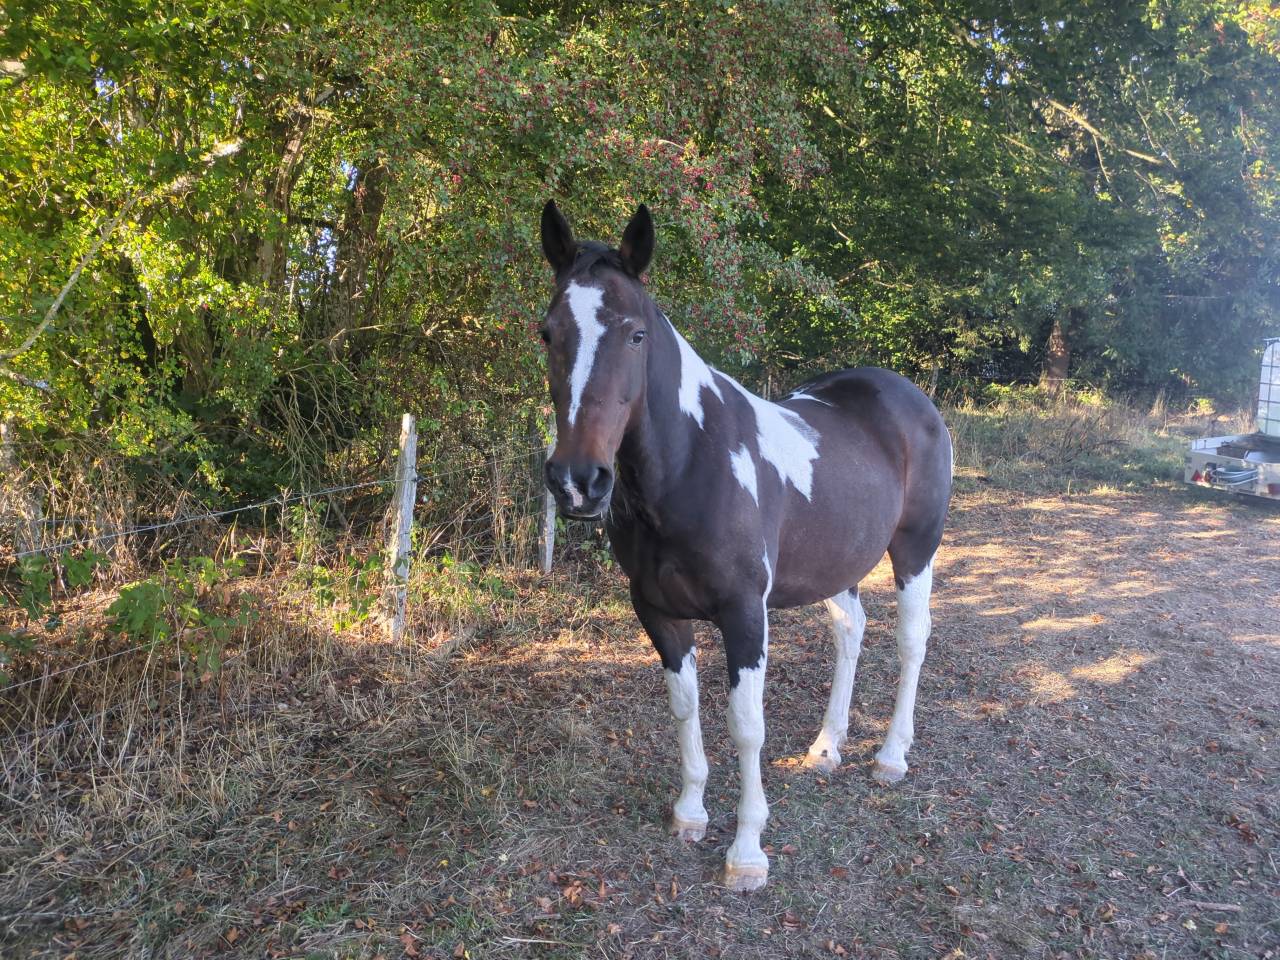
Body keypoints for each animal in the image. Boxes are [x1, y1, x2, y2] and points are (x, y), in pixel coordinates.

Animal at [537, 201, 952, 891]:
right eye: (548, 333)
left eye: (635, 335)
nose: (578, 481)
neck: (688, 470)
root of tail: (908, 395)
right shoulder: (658, 614)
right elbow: (685, 709)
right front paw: (689, 814)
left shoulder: (743, 614)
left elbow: (746, 726)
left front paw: (747, 851)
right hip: (833, 564)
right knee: (851, 630)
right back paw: (826, 749)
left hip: (915, 551)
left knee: (911, 640)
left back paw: (891, 756)